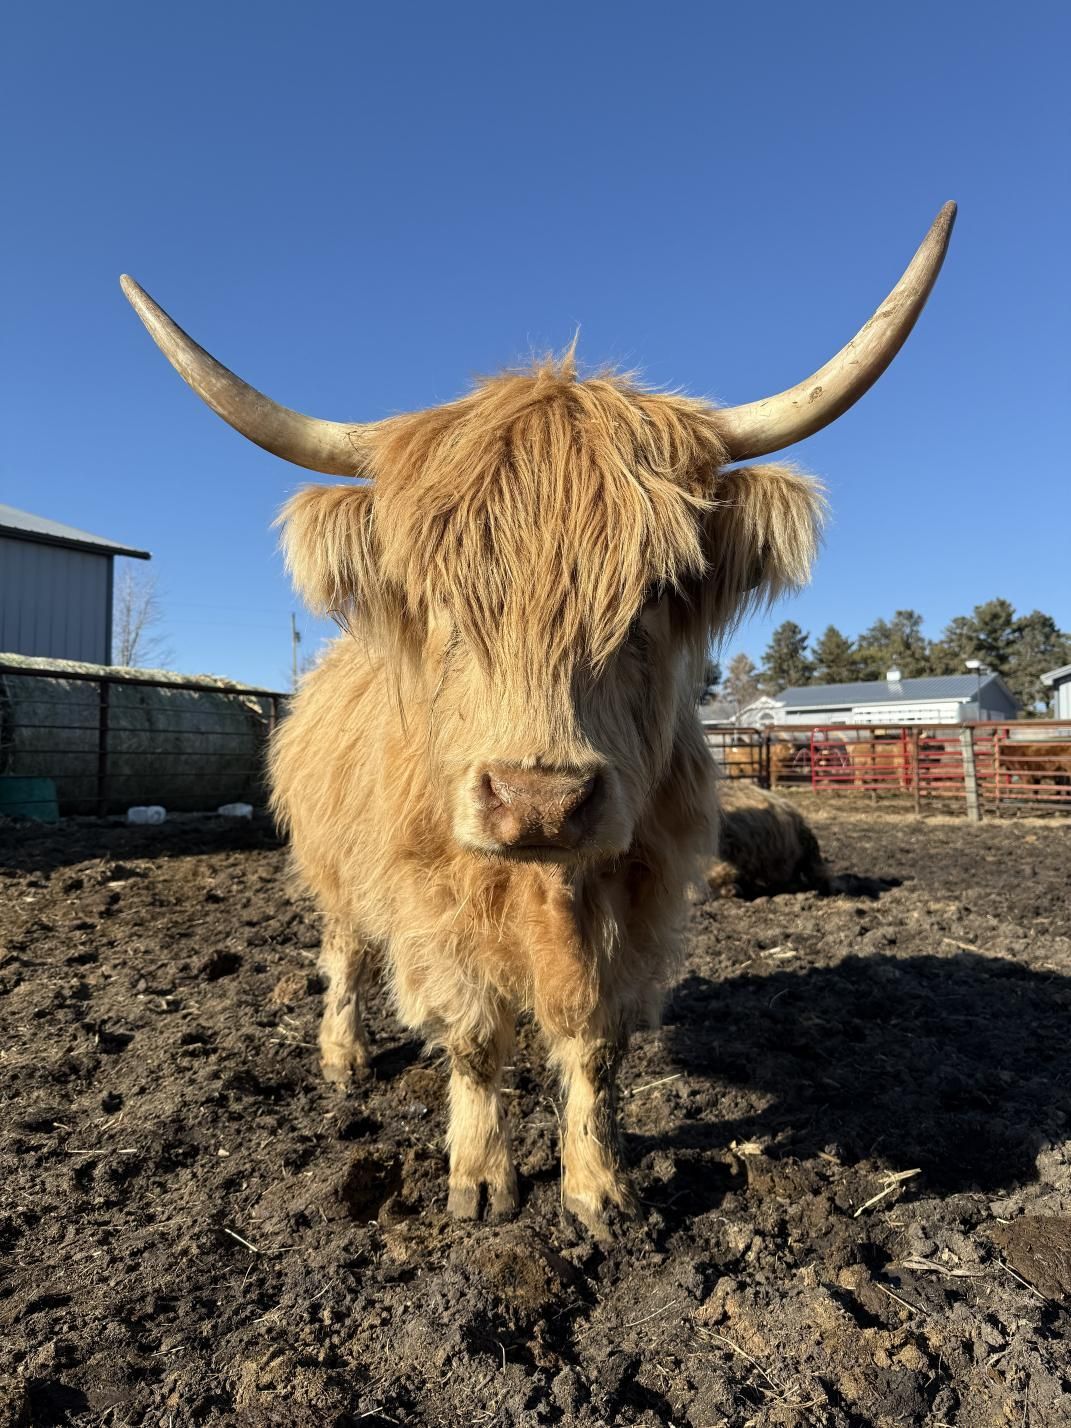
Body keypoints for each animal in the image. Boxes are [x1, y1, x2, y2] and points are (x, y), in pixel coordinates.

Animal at [121, 202, 954, 1236]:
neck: (546, 886)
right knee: (343, 954)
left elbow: (593, 1042)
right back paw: (343, 1057)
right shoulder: (432, 900)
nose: (538, 802)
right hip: (335, 868)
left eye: (656, 593)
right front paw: (481, 1179)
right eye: (441, 599)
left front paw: (600, 1187)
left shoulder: (638, 890)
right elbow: (475, 1037)